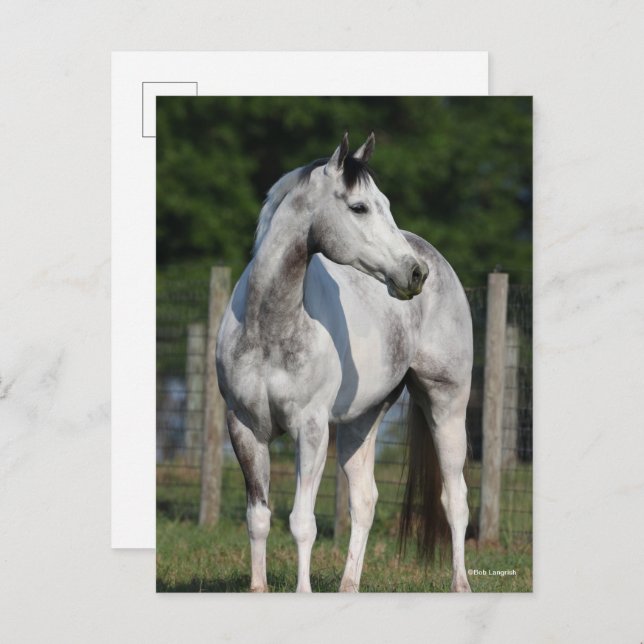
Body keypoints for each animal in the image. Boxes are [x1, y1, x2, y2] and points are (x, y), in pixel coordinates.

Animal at [216, 132, 473, 592]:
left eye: (383, 202)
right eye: (359, 207)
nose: (414, 273)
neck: (268, 327)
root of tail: (436, 258)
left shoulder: (312, 429)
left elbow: (302, 522)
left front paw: (302, 592)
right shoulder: (244, 428)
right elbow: (258, 517)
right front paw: (258, 588)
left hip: (447, 406)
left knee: (455, 498)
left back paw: (460, 585)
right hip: (362, 420)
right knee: (365, 500)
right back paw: (348, 585)